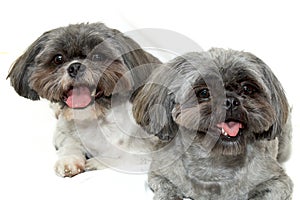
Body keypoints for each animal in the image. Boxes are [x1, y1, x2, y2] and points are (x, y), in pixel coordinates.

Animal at [7, 22, 161, 177]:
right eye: (58, 58)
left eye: (98, 56)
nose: (75, 66)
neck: (92, 119)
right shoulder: (63, 133)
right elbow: (69, 143)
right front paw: (69, 160)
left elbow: (125, 157)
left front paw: (98, 162)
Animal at [132, 48, 292, 198]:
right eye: (204, 92)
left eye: (247, 88)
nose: (230, 101)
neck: (215, 164)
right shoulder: (159, 174)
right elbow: (166, 188)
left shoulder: (279, 182)